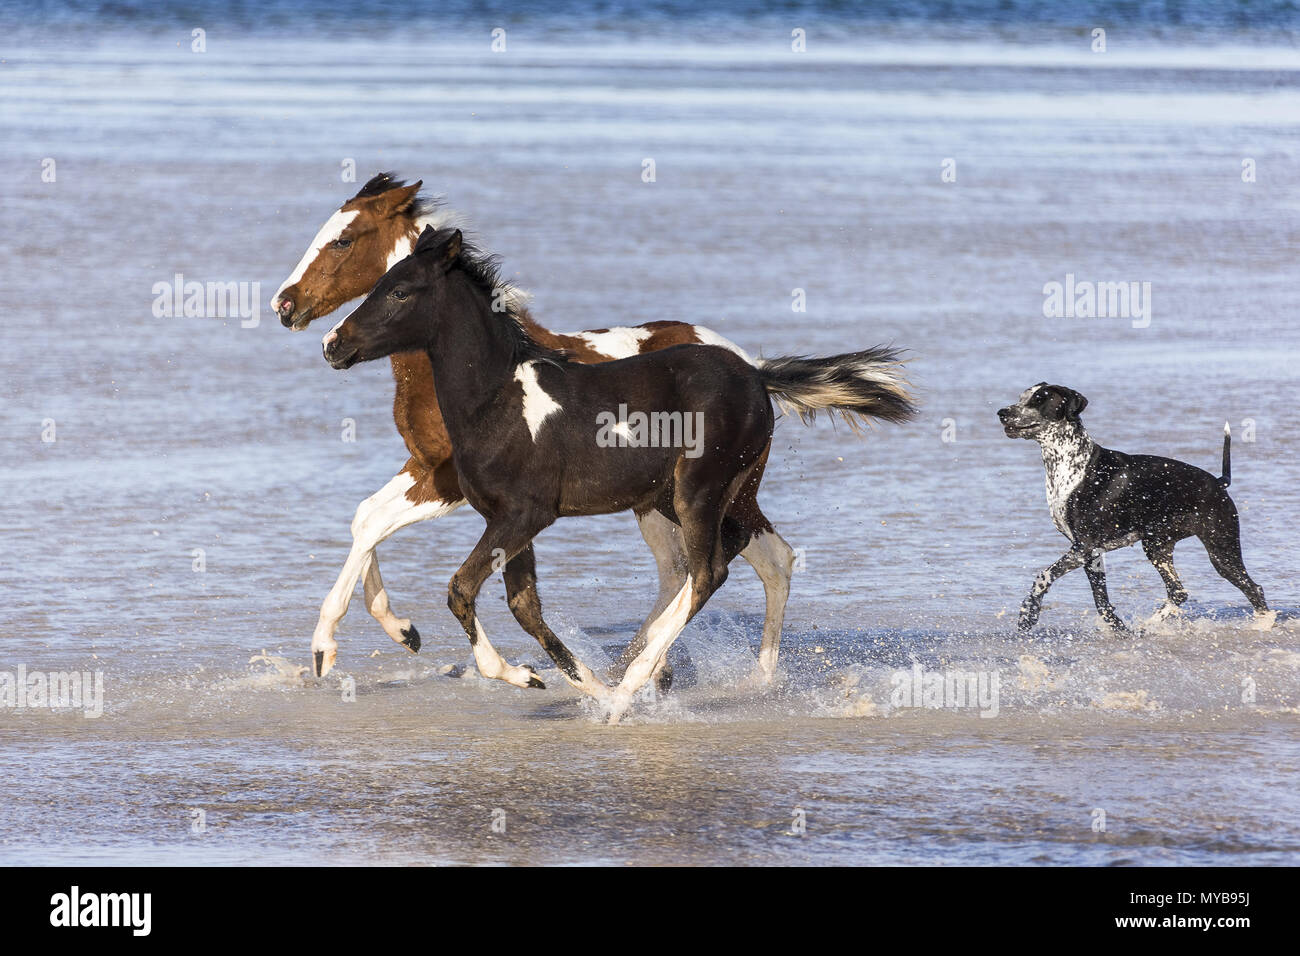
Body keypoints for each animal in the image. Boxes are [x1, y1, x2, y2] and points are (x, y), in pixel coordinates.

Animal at [273, 175, 800, 686]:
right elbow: (373, 521)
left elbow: (407, 547)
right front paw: (405, 632)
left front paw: (329, 647)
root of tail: (754, 371)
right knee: (721, 561)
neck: (495, 388)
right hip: (673, 498)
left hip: (699, 494)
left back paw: (679, 679)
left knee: (733, 565)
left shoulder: (470, 491)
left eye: (342, 241)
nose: (292, 311)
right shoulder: (458, 487)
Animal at [325, 227, 915, 723]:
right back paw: (700, 676)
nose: (333, 344)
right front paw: (565, 682)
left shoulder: (525, 516)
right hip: (682, 497)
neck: (497, 399)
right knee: (746, 557)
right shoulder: (505, 521)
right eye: (378, 284)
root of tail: (756, 375)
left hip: (699, 490)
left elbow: (461, 590)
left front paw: (541, 680)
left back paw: (635, 685)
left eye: (401, 293)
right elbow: (524, 606)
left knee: (708, 571)